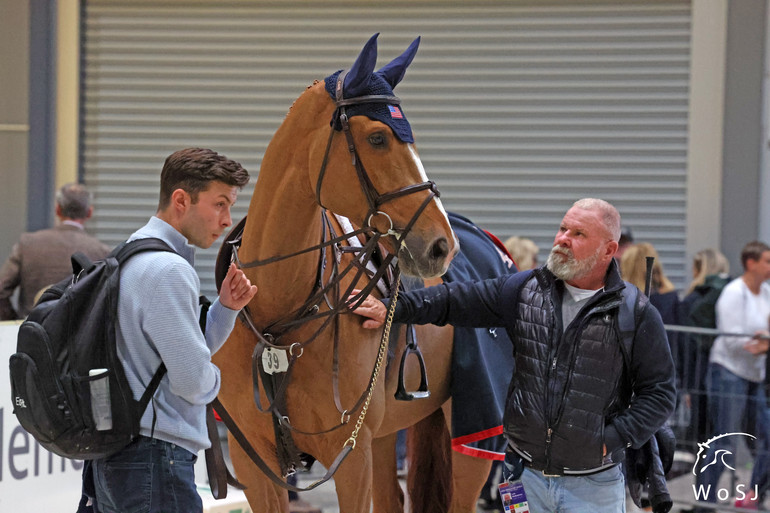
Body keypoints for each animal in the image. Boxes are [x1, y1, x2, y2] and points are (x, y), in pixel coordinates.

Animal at [212, 35, 492, 512]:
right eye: (377, 138)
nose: (442, 246)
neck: (279, 313)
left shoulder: (350, 457)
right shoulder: (254, 464)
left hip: (472, 435)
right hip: (384, 437)